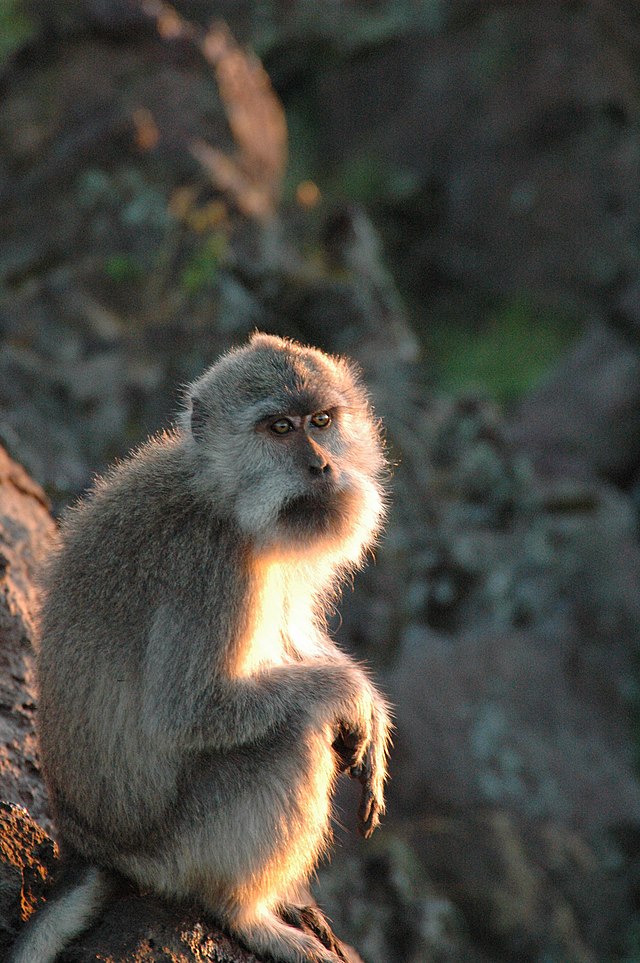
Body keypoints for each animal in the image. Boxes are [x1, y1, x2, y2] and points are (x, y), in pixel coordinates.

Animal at [10, 334, 392, 963]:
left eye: (321, 420)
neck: (225, 497)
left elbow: (292, 635)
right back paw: (244, 913)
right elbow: (189, 710)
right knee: (296, 737)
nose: (321, 465)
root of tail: (86, 846)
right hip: (175, 852)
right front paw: (350, 692)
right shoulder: (211, 571)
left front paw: (374, 714)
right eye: (279, 428)